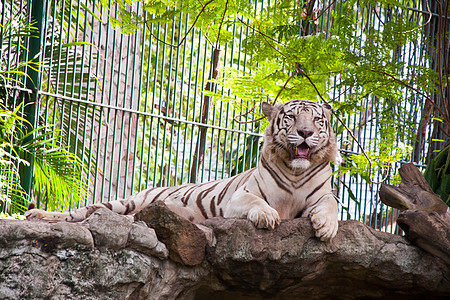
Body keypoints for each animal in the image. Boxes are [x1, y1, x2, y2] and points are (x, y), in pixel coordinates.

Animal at [24, 101, 340, 241]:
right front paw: (267, 216)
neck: (295, 172)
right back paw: (36, 215)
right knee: (80, 213)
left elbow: (331, 205)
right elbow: (257, 202)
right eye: (291, 117)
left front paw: (326, 227)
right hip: (123, 202)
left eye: (316, 120)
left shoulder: (322, 195)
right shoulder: (240, 195)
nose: (305, 132)